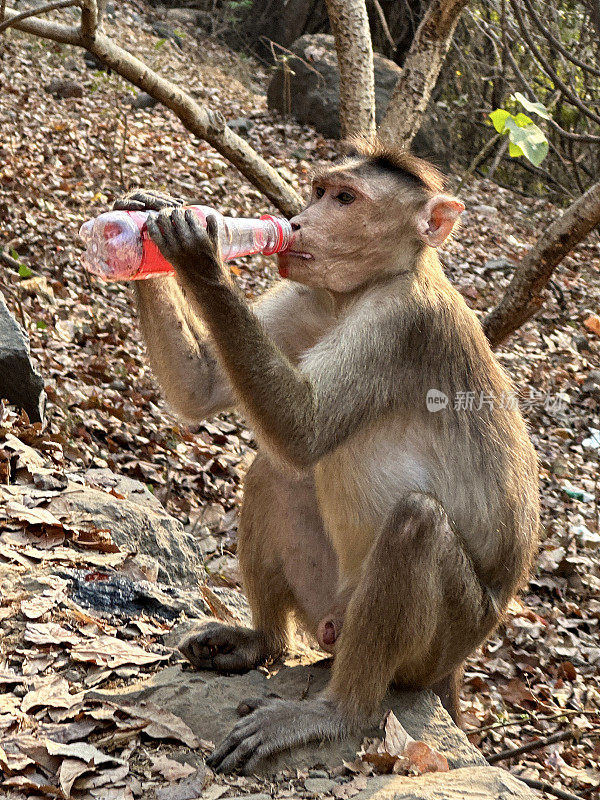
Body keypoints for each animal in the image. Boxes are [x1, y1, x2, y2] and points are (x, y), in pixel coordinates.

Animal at [113, 139, 540, 776]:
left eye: (345, 199)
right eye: (319, 191)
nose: (295, 222)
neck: (356, 292)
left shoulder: (399, 322)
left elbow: (303, 427)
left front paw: (197, 249)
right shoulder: (306, 291)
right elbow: (203, 387)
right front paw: (147, 215)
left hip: (440, 644)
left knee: (415, 522)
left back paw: (338, 712)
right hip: (326, 603)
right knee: (273, 474)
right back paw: (261, 643)